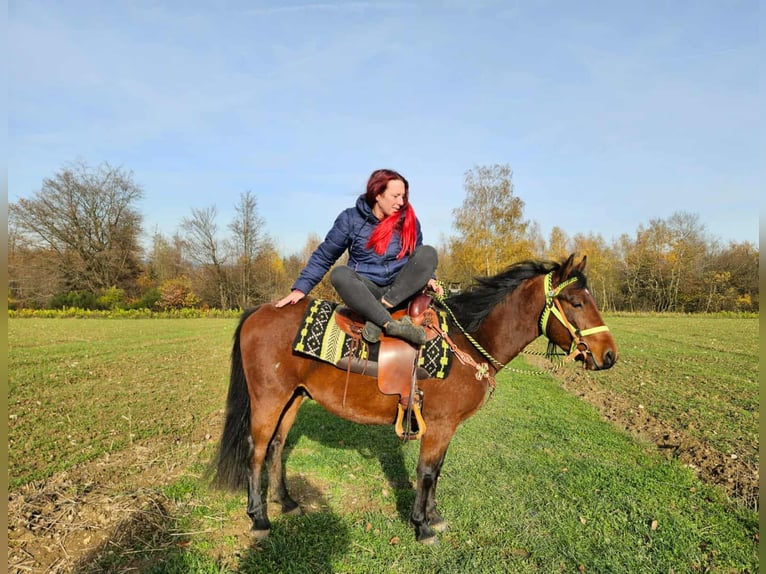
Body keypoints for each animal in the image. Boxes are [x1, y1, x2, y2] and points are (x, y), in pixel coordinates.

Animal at [209, 254, 618, 544]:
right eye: (575, 302)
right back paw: (259, 518)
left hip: (293, 398)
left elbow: (437, 472)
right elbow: (426, 472)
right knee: (257, 451)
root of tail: (259, 311)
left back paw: (288, 503)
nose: (609, 355)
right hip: (269, 399)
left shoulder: (445, 429)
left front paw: (434, 516)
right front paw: (422, 527)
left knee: (277, 447)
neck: (466, 342)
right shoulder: (438, 425)